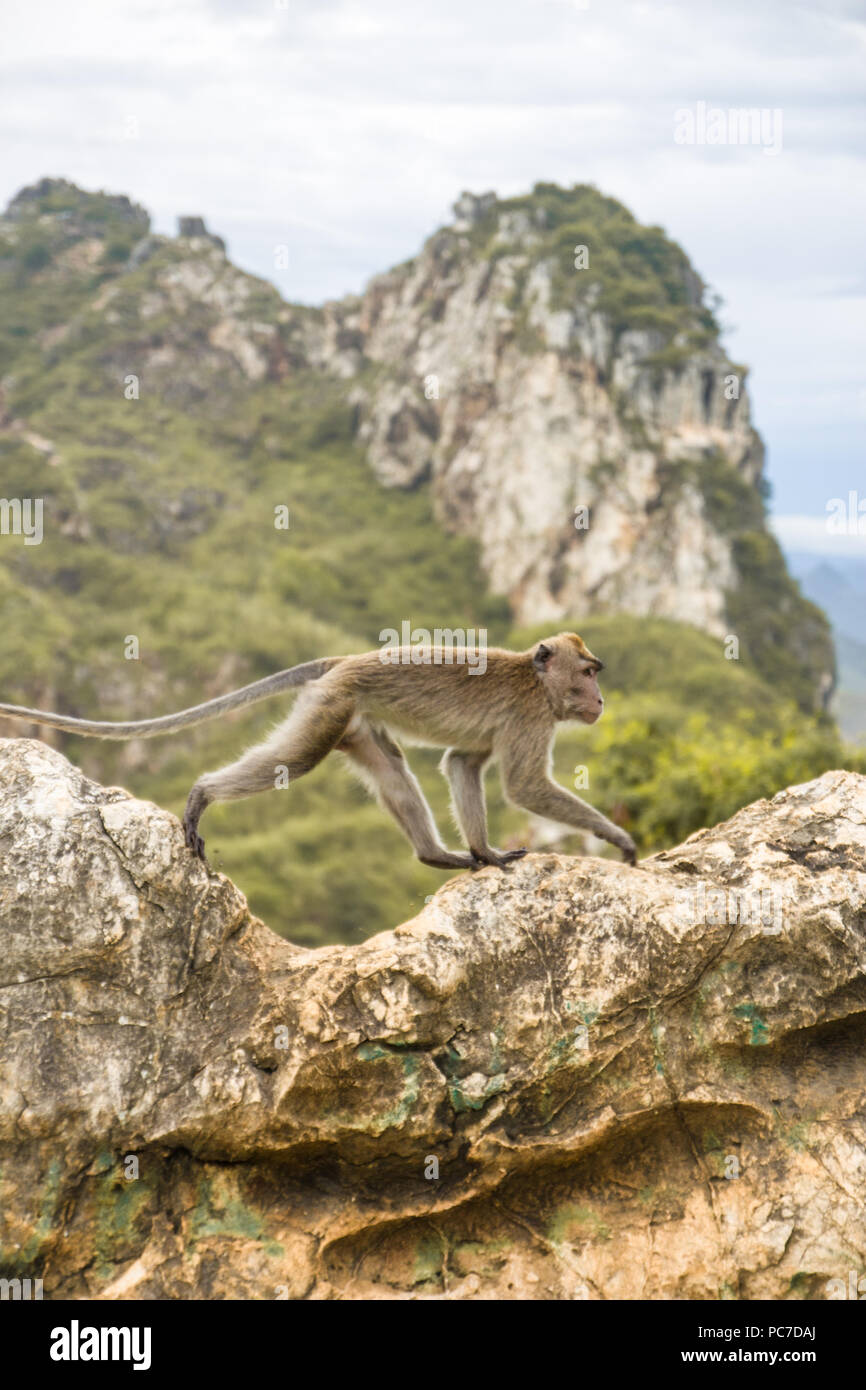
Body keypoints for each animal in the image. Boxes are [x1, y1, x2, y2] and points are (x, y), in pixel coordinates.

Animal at [0, 633, 637, 871]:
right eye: (589, 672)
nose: (600, 699)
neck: (540, 683)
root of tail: (344, 660)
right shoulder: (531, 718)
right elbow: (523, 786)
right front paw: (620, 839)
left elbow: (461, 763)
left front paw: (484, 851)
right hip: (330, 706)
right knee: (297, 760)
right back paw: (201, 795)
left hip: (352, 722)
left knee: (393, 770)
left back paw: (436, 856)